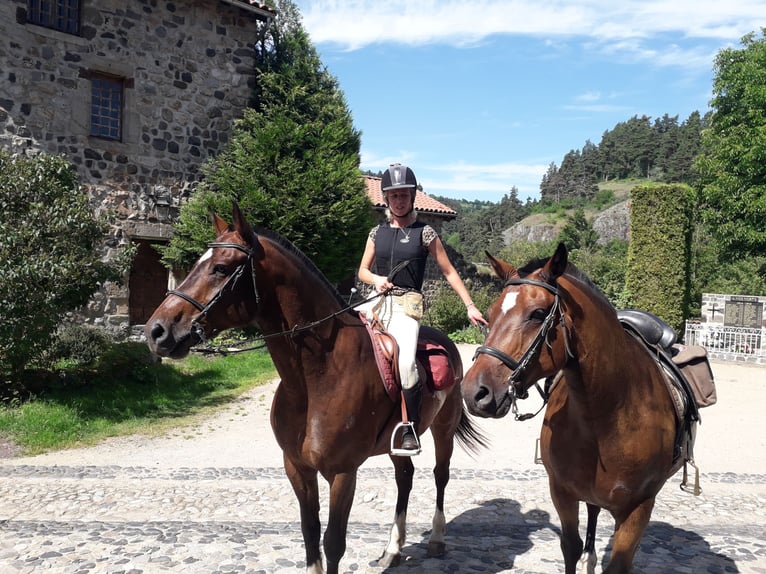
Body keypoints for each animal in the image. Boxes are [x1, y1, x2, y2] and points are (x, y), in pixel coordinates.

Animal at [144, 205, 486, 572]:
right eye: (196, 263)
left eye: (220, 268)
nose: (157, 331)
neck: (316, 378)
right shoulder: (297, 467)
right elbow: (309, 533)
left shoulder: (342, 472)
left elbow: (333, 542)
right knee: (404, 477)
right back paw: (393, 550)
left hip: (443, 427)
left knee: (440, 475)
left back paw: (436, 539)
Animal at [464, 244, 700, 574]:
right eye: (489, 314)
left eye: (538, 314)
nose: (475, 392)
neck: (606, 415)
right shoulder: (562, 492)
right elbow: (571, 547)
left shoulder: (638, 507)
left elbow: (619, 563)